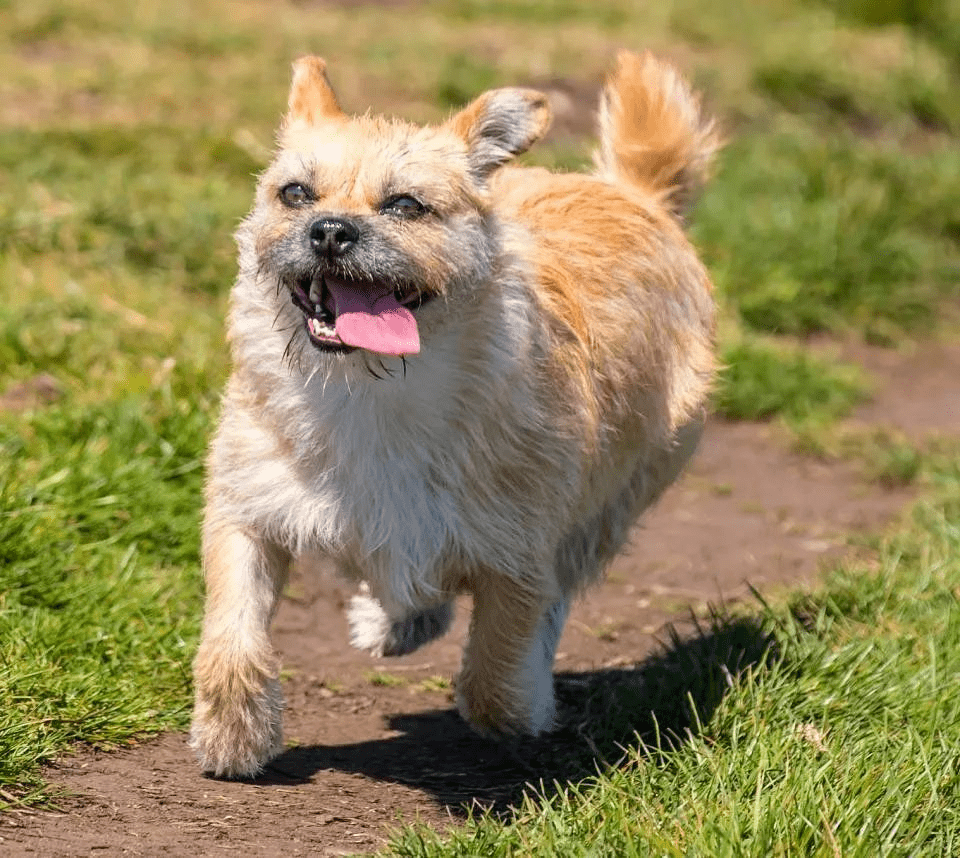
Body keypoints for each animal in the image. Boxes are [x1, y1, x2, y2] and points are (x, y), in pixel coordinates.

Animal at [191, 51, 716, 776]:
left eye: (405, 205)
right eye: (295, 194)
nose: (329, 231)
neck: (372, 392)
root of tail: (636, 193)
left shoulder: (521, 550)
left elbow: (496, 670)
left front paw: (526, 708)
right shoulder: (249, 509)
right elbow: (232, 627)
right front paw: (231, 732)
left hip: (610, 507)